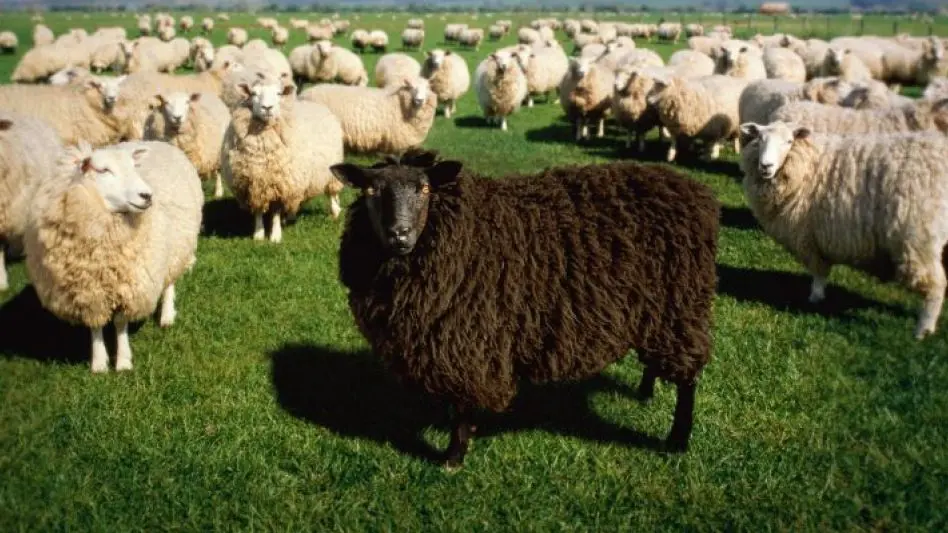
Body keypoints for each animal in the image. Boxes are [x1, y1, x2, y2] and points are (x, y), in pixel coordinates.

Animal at [24, 140, 203, 372]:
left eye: (134, 167)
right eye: (104, 170)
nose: (147, 195)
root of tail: (157, 142)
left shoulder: (128, 284)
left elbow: (119, 322)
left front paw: (123, 361)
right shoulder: (88, 291)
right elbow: (95, 324)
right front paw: (99, 363)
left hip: (176, 248)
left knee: (169, 282)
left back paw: (166, 316)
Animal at [221, 80, 345, 242]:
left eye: (278, 93)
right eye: (253, 93)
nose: (267, 107)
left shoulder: (280, 183)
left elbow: (275, 212)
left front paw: (275, 236)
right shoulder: (254, 184)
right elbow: (259, 210)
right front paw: (259, 235)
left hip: (330, 172)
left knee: (332, 193)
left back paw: (335, 211)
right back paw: (290, 216)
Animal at [330, 149, 720, 468]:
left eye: (424, 190)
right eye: (370, 192)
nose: (400, 234)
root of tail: (695, 191)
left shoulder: (470, 338)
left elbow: (461, 405)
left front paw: (453, 456)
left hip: (681, 307)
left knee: (689, 379)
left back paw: (678, 439)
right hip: (657, 311)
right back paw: (646, 392)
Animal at [739, 120, 948, 339]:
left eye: (789, 141)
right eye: (760, 138)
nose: (765, 166)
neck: (809, 166)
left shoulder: (810, 236)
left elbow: (818, 271)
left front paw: (815, 297)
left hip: (918, 239)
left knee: (936, 286)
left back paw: (923, 330)